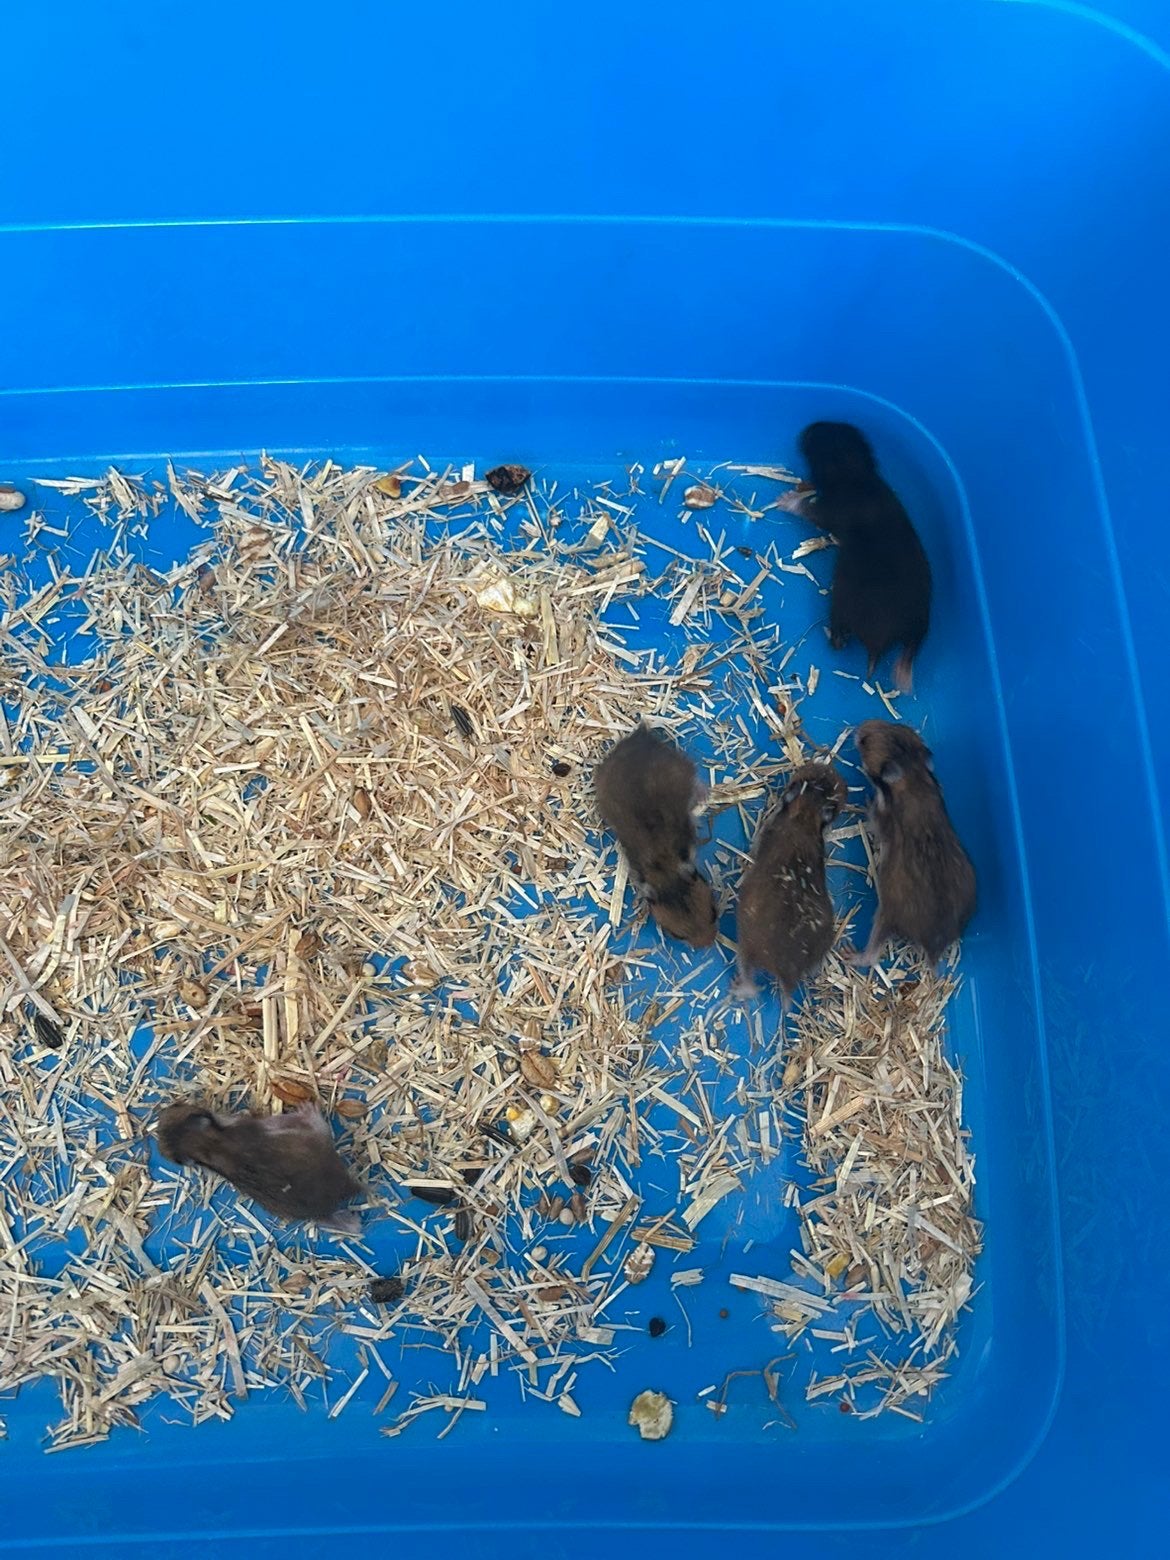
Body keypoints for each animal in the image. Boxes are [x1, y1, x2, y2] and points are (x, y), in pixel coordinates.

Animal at [156, 1100, 363, 1232]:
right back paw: (308, 1108)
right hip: (316, 1137)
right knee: (320, 1126)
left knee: (350, 1227)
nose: (162, 1112)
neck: (205, 1145)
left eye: (176, 1106)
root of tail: (347, 1187)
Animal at [593, 723, 718, 948]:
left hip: (681, 768)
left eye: (714, 913)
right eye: (678, 935)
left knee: (696, 781)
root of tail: (640, 736)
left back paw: (704, 795)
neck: (663, 866)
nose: (709, 943)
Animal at [733, 761, 847, 1006]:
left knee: (749, 977)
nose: (822, 765)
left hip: (746, 947)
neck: (805, 814)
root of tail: (788, 972)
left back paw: (740, 989)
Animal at [794, 422, 932, 692]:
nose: (808, 428)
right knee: (911, 648)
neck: (858, 474)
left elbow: (811, 512)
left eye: (819, 437)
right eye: (839, 427)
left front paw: (787, 500)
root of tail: (877, 645)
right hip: (920, 622)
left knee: (839, 640)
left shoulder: (832, 510)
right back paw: (903, 677)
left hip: (841, 606)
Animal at [852, 720, 976, 965]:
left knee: (871, 955)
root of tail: (933, 946)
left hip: (886, 913)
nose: (860, 726)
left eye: (864, 741)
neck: (913, 774)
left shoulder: (880, 820)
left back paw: (850, 955)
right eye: (896, 724)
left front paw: (866, 801)